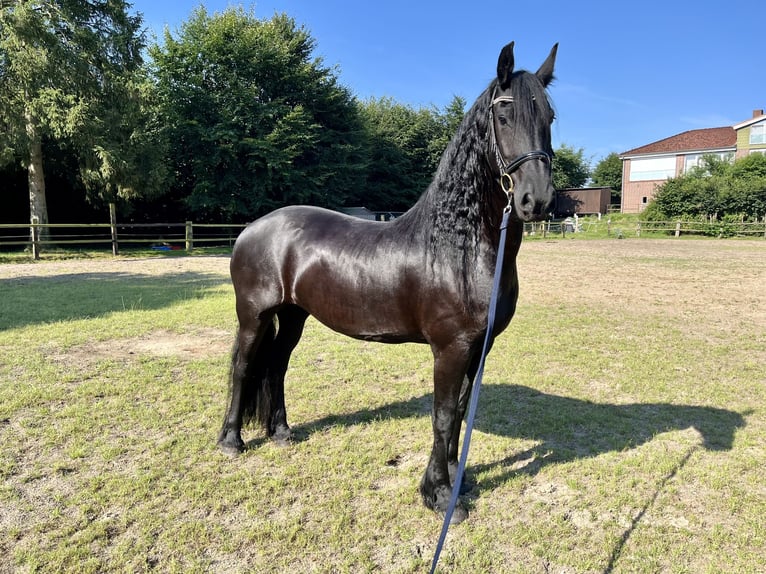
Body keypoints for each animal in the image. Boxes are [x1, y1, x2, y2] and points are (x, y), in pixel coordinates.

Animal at [219, 42, 560, 524]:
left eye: (549, 116)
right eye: (504, 114)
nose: (537, 200)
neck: (458, 245)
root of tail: (252, 228)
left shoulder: (479, 347)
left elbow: (459, 412)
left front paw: (458, 481)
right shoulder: (451, 348)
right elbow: (442, 416)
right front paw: (440, 497)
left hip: (294, 316)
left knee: (277, 366)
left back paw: (282, 432)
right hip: (254, 315)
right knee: (244, 366)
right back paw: (232, 441)